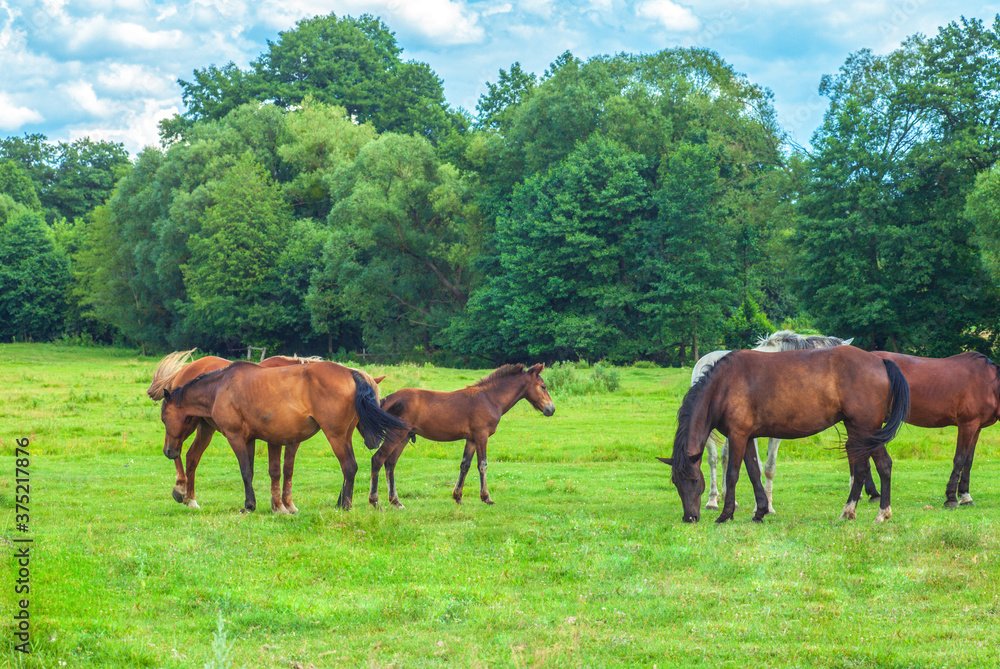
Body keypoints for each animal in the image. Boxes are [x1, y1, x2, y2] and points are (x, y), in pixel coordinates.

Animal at [162, 360, 404, 512]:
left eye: (164, 418)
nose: (168, 451)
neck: (221, 386)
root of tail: (350, 373)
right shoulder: (252, 439)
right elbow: (261, 471)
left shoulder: (236, 437)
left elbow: (246, 471)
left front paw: (249, 506)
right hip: (344, 435)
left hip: (335, 436)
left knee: (349, 466)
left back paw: (345, 505)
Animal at [368, 362, 556, 508]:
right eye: (543, 386)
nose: (551, 409)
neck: (489, 398)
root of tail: (387, 399)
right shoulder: (481, 435)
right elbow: (483, 465)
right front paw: (486, 498)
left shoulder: (471, 439)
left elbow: (465, 465)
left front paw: (458, 497)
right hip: (397, 434)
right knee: (378, 459)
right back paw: (375, 502)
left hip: (404, 437)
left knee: (390, 464)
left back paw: (396, 501)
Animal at [660, 348, 912, 524]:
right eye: (676, 482)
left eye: (695, 480)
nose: (690, 517)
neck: (724, 385)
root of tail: (879, 362)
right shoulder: (747, 436)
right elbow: (754, 472)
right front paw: (760, 512)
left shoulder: (737, 435)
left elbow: (733, 474)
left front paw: (725, 514)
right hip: (858, 430)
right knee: (863, 469)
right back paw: (849, 512)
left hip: (866, 429)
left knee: (883, 465)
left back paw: (881, 514)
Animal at [692, 328, 856, 512]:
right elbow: (757, 467)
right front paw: (759, 506)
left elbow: (770, 467)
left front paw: (768, 506)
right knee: (712, 458)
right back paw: (712, 501)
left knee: (725, 455)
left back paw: (730, 499)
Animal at [872, 350, 1000, 506]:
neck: (988, 383)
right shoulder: (967, 425)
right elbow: (959, 459)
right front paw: (951, 498)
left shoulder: (977, 428)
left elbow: (968, 461)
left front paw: (965, 496)